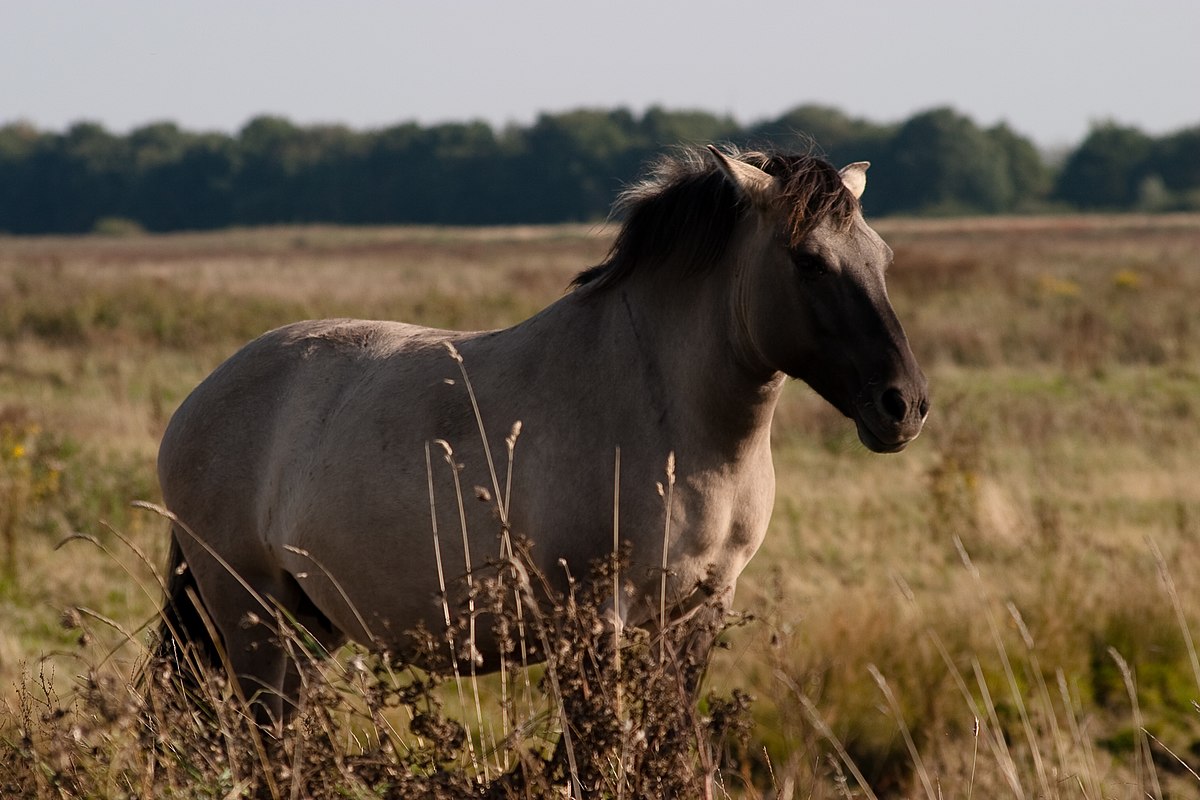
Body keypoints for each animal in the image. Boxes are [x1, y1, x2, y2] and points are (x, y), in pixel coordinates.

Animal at [154, 143, 931, 724]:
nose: (904, 405)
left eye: (884, 257)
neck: (674, 427)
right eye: (807, 260)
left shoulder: (695, 614)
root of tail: (195, 404)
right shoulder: (590, 624)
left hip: (309, 628)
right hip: (253, 620)